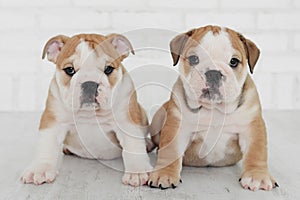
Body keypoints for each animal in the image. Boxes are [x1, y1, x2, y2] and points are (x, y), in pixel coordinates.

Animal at [21, 32, 152, 186]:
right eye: (69, 70)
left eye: (108, 69)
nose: (90, 84)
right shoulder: (53, 121)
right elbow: (46, 145)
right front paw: (39, 169)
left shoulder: (126, 121)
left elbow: (133, 145)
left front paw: (137, 171)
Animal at [149, 25, 278, 191]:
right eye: (193, 59)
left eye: (234, 61)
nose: (213, 73)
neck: (214, 109)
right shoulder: (177, 127)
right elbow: (170, 152)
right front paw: (164, 174)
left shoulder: (252, 127)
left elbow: (257, 151)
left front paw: (257, 176)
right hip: (158, 118)